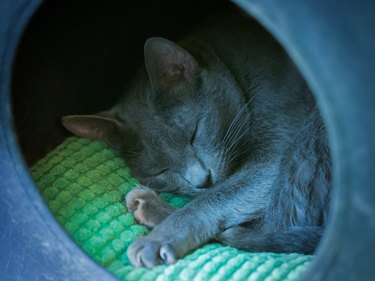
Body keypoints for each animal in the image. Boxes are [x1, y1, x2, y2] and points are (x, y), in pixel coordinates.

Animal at [61, 9, 332, 266]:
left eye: (195, 133)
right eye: (160, 171)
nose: (202, 180)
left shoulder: (276, 149)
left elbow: (213, 199)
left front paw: (157, 240)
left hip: (310, 142)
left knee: (277, 223)